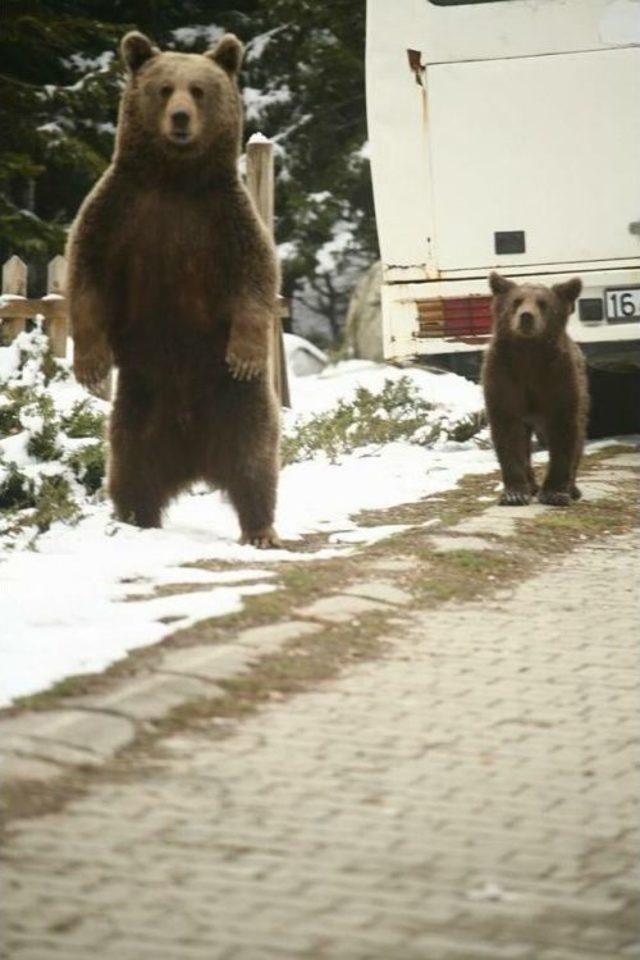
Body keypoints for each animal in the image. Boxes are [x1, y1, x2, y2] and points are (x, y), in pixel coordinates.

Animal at [66, 30, 282, 548]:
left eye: (199, 90)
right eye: (165, 89)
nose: (180, 117)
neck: (174, 178)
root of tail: (196, 463)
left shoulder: (224, 220)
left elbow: (256, 278)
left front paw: (245, 355)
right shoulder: (119, 213)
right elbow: (86, 277)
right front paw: (90, 366)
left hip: (235, 405)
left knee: (255, 461)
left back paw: (260, 529)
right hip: (141, 406)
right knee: (130, 468)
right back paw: (134, 518)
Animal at [482, 272, 588, 506]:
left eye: (543, 304)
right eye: (516, 301)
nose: (526, 317)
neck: (528, 354)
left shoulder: (557, 380)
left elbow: (564, 431)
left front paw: (555, 493)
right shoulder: (504, 378)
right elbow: (507, 432)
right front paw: (514, 493)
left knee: (579, 435)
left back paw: (573, 488)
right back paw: (530, 485)